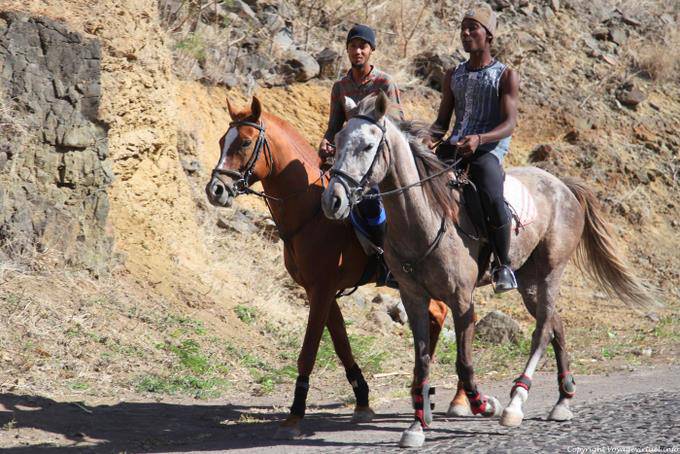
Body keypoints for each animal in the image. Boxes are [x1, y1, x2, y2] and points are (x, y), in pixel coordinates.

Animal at [204, 96, 460, 439]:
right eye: (222, 141)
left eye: (244, 142)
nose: (215, 190)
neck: (311, 210)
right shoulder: (319, 292)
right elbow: (341, 344)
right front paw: (362, 399)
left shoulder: (322, 290)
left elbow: (309, 350)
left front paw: (296, 413)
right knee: (436, 314)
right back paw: (423, 390)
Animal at [321, 91, 655, 448]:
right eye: (337, 141)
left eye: (368, 146)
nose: (333, 200)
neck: (423, 219)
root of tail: (561, 184)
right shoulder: (414, 298)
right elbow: (422, 361)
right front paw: (416, 426)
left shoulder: (461, 300)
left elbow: (465, 363)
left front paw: (484, 404)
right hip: (530, 282)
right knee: (556, 324)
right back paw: (563, 400)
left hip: (550, 272)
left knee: (541, 331)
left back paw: (515, 403)